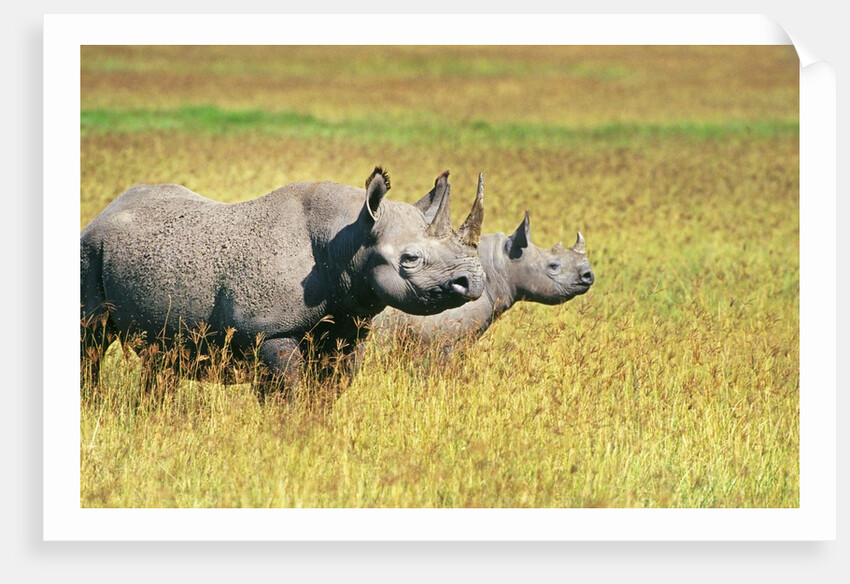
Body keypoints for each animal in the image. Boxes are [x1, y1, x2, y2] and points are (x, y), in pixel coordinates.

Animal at [80, 167, 486, 388]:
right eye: (410, 259)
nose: (475, 281)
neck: (350, 237)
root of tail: (106, 210)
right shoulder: (269, 330)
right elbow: (287, 392)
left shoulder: (346, 326)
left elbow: (328, 391)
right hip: (90, 248)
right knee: (92, 340)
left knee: (159, 355)